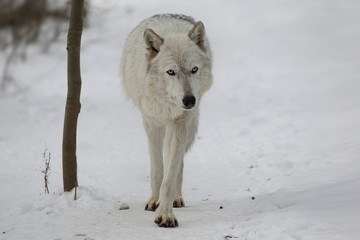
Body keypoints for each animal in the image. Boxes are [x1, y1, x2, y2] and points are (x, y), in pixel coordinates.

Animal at [121, 14, 212, 228]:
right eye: (171, 72)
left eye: (194, 69)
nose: (189, 100)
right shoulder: (151, 123)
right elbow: (157, 169)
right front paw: (155, 201)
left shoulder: (180, 122)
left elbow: (170, 175)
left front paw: (165, 214)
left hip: (181, 126)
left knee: (178, 163)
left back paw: (176, 199)